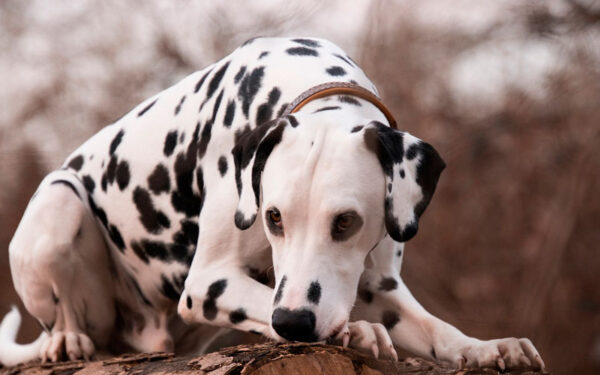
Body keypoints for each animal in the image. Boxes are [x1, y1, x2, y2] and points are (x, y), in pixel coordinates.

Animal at [0, 36, 544, 372]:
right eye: (273, 218)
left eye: (346, 222)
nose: (295, 325)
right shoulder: (208, 282)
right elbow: (269, 300)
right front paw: (354, 331)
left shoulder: (379, 286)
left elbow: (438, 329)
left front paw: (487, 348)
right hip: (60, 199)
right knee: (66, 319)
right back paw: (66, 340)